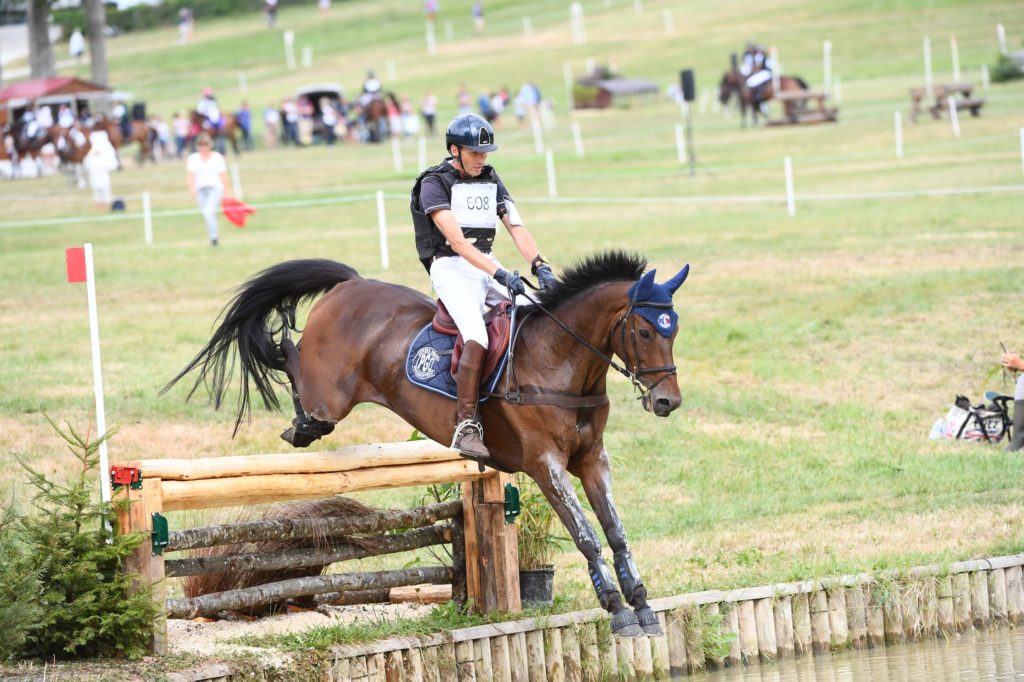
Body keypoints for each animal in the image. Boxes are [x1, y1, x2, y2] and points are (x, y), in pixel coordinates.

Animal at [165, 250, 688, 638]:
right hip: (329, 396)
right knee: (294, 364)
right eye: (644, 331)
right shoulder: (546, 465)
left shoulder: (592, 460)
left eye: (674, 329)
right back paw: (286, 380)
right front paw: (616, 609)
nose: (667, 401)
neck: (560, 361)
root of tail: (352, 284)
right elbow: (586, 535)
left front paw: (641, 605)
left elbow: (616, 531)